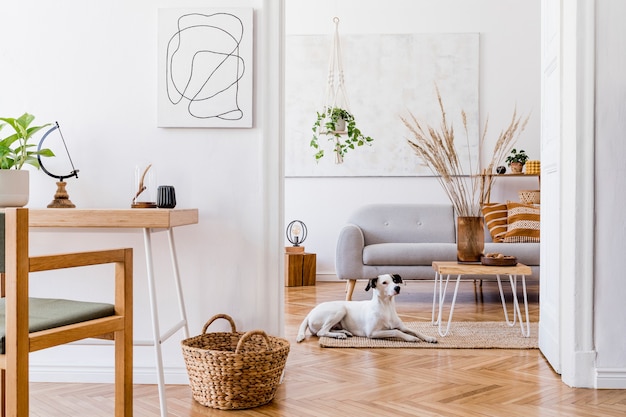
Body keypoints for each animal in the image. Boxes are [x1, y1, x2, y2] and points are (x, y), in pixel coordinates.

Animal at [296, 272, 434, 342]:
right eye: (384, 282)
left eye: (395, 280)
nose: (397, 288)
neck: (386, 307)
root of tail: (310, 313)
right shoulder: (372, 333)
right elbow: (396, 331)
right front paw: (410, 338)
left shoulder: (402, 326)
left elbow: (415, 330)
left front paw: (428, 337)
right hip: (340, 309)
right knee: (321, 332)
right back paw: (339, 335)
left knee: (327, 330)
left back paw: (343, 333)